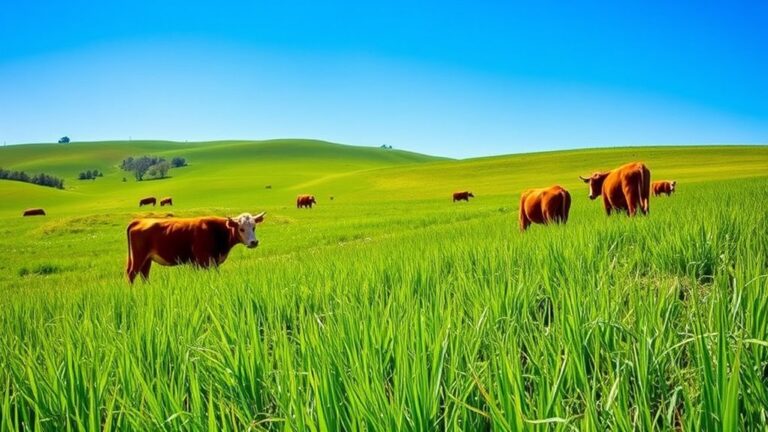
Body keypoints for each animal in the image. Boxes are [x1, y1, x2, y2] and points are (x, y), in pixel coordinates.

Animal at [125, 212, 266, 283]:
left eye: (254, 227)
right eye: (241, 229)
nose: (254, 242)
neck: (215, 230)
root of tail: (139, 221)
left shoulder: (210, 262)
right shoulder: (203, 260)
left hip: (147, 260)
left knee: (144, 275)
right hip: (138, 257)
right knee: (131, 274)